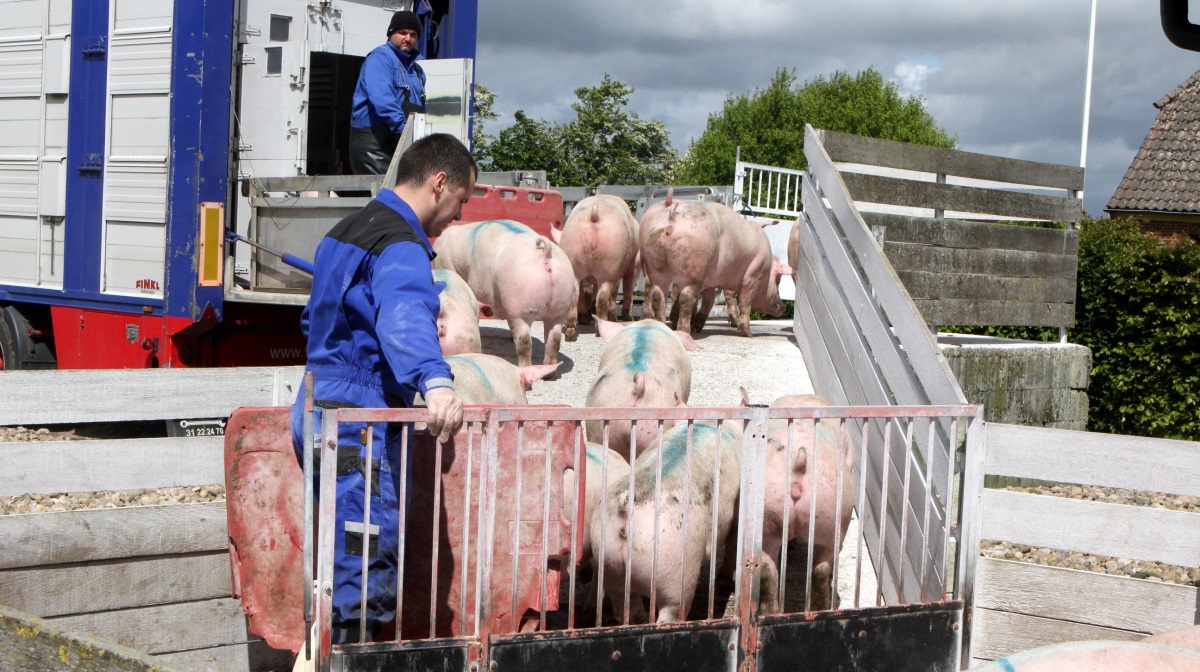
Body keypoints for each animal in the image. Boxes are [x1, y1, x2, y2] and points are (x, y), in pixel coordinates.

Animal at [432, 219, 580, 367]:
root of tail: (546, 253)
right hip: (560, 307)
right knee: (554, 339)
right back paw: (549, 369)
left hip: (521, 309)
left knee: (524, 341)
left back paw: (523, 366)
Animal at [549, 194, 643, 326]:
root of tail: (594, 215)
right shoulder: (633, 262)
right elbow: (624, 287)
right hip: (613, 258)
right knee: (607, 294)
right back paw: (611, 320)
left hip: (573, 249)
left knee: (577, 292)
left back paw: (577, 324)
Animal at [643, 190, 792, 338]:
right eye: (778, 280)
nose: (783, 307)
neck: (767, 268)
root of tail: (673, 212)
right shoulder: (752, 276)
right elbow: (744, 303)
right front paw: (749, 334)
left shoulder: (709, 281)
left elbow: (709, 300)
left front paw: (697, 327)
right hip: (694, 270)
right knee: (686, 298)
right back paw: (684, 331)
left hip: (655, 267)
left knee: (658, 295)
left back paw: (663, 327)